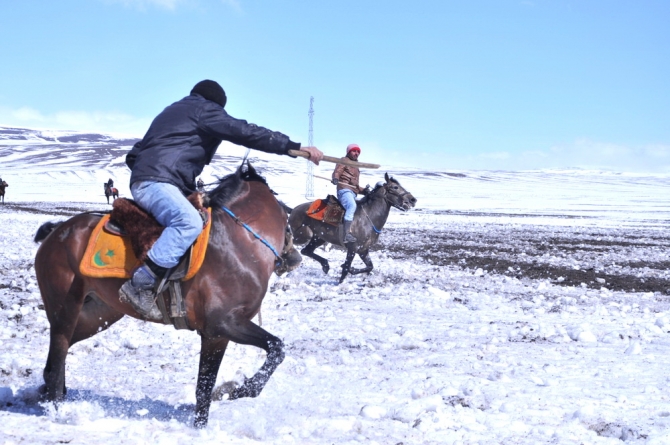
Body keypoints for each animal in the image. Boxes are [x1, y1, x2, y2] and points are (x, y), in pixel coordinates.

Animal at [32, 164, 298, 426]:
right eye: (288, 222)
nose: (295, 258)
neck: (239, 244)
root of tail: (57, 230)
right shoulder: (223, 324)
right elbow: (276, 348)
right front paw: (239, 389)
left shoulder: (215, 335)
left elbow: (205, 387)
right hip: (65, 307)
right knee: (58, 357)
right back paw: (59, 412)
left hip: (99, 313)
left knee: (59, 357)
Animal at [290, 172, 418, 282]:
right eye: (395, 187)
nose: (413, 200)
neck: (368, 218)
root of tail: (294, 209)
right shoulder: (353, 248)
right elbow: (346, 268)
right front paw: (340, 282)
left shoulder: (363, 250)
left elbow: (369, 266)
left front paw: (352, 270)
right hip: (303, 236)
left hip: (319, 238)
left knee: (306, 250)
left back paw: (325, 265)